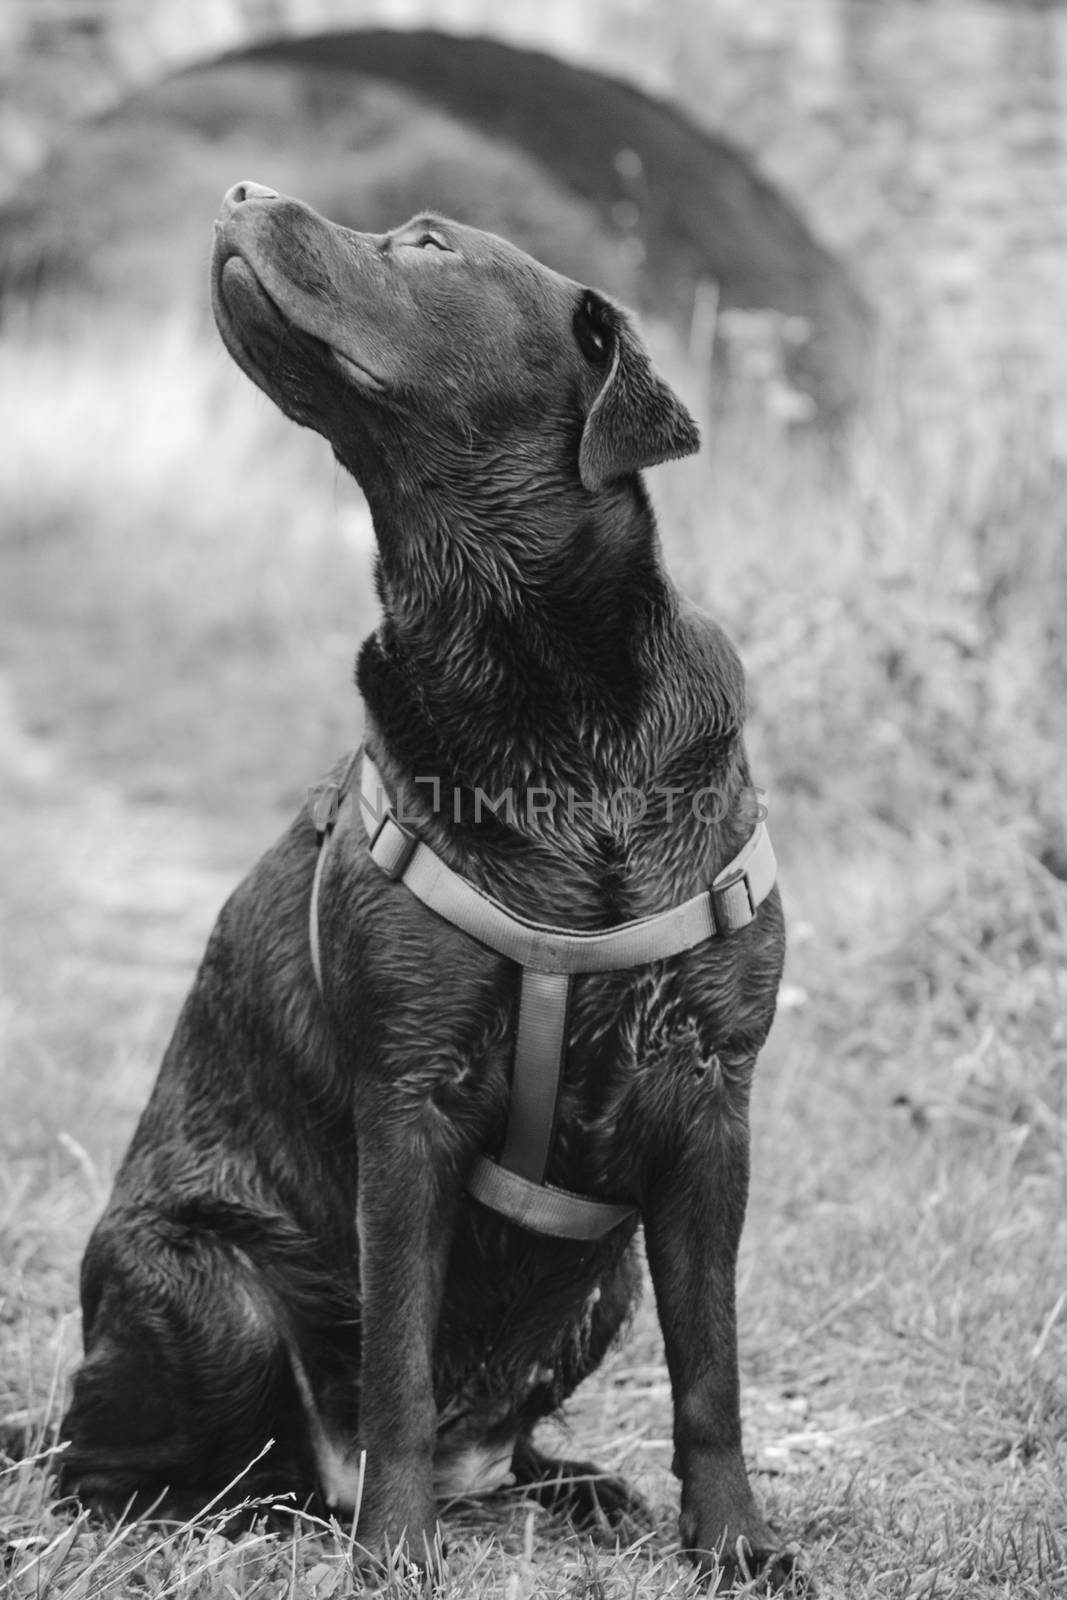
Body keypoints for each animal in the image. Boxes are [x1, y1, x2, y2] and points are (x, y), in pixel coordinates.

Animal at [58, 184, 793, 1587]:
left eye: (430, 243)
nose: (239, 191)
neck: (547, 711)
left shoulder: (707, 1096)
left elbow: (711, 1367)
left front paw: (732, 1543)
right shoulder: (409, 1101)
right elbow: (399, 1360)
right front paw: (395, 1553)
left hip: (605, 1271)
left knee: (507, 1444)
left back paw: (577, 1489)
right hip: (208, 1286)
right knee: (112, 1468)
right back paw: (265, 1512)